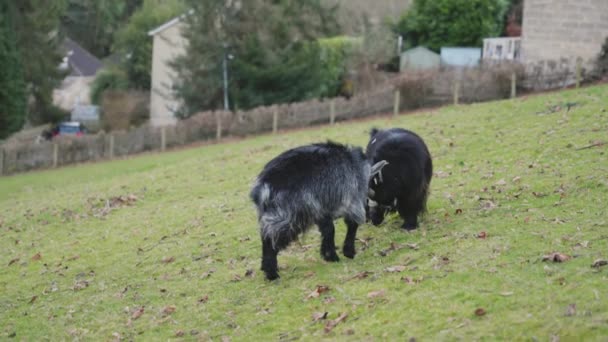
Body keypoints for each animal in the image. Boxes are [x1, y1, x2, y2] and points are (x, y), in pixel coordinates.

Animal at [251, 142, 384, 280]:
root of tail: (262, 186)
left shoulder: (320, 209)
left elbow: (328, 230)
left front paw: (329, 255)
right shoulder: (351, 201)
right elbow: (351, 225)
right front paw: (347, 252)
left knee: (265, 235)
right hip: (289, 215)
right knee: (270, 238)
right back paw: (271, 273)